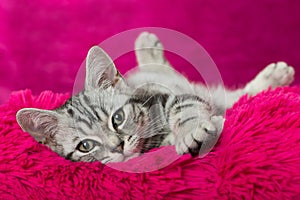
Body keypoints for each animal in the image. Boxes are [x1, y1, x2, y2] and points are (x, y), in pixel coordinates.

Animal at [15, 32, 294, 163]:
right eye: (85, 146)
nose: (118, 146)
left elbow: (185, 110)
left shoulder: (171, 96)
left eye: (117, 118)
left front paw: (190, 132)